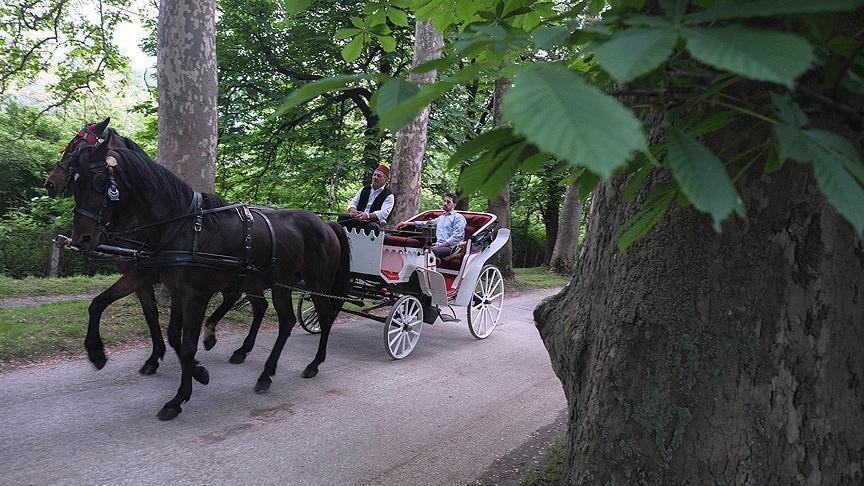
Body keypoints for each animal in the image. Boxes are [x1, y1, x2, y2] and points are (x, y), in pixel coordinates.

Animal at [46, 119, 266, 374]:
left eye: (74, 148)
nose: (50, 184)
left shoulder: (144, 274)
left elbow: (111, 305)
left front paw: (100, 351)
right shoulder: (143, 277)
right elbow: (146, 312)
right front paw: (155, 356)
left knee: (256, 304)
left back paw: (236, 346)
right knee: (247, 301)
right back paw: (220, 338)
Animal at [68, 131, 352, 420]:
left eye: (99, 183)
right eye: (75, 181)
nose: (81, 239)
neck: (184, 226)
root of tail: (326, 223)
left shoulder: (195, 294)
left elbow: (186, 344)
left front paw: (179, 398)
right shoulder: (173, 288)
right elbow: (164, 330)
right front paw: (97, 352)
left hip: (317, 283)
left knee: (324, 318)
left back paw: (314, 363)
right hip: (277, 284)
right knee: (284, 321)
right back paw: (264, 372)